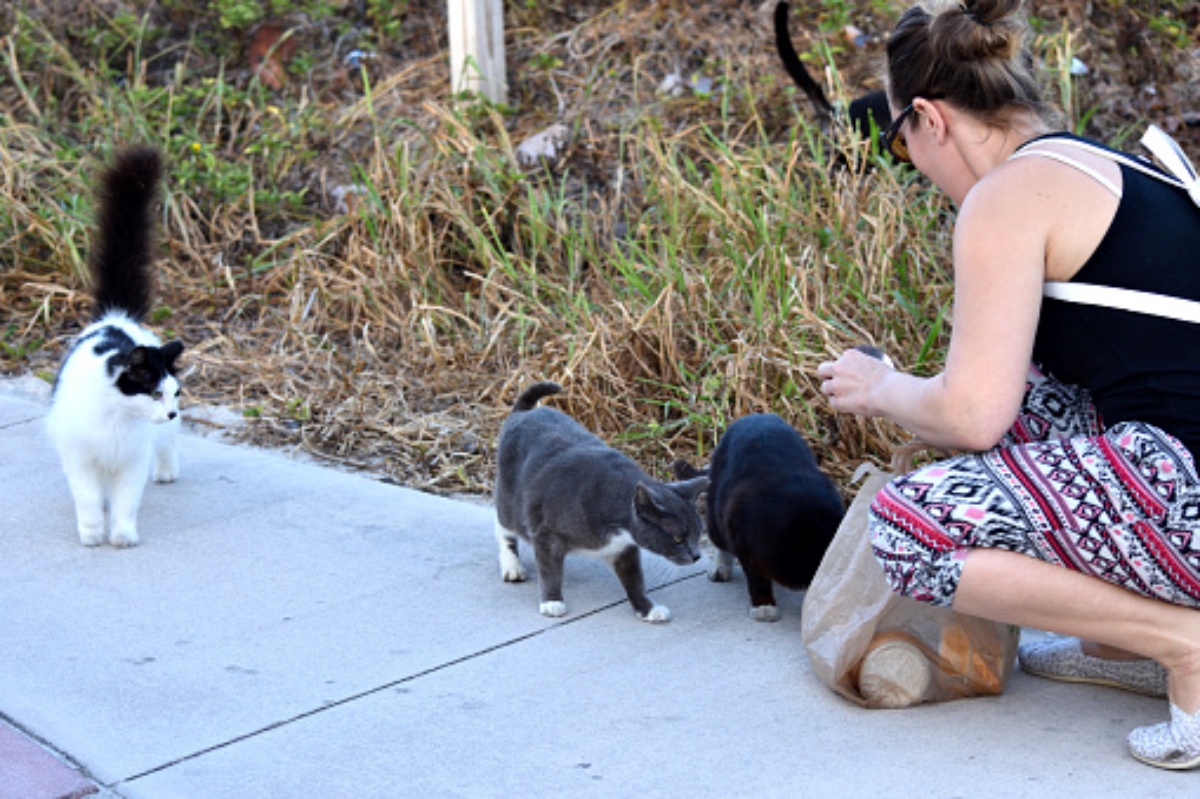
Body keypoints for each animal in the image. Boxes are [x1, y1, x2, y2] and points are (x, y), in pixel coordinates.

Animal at [45, 146, 182, 544]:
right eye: (154, 393)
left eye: (174, 394)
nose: (171, 411)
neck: (117, 418)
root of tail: (117, 317)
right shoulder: (79, 457)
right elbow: (89, 499)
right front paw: (93, 535)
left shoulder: (133, 460)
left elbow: (126, 502)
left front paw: (122, 537)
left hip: (160, 439)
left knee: (167, 444)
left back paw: (166, 472)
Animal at [492, 381, 705, 623]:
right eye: (678, 538)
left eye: (699, 534)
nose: (697, 555)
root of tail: (524, 411)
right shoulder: (546, 534)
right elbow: (549, 571)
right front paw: (552, 602)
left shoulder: (624, 548)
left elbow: (634, 580)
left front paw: (647, 608)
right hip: (511, 500)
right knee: (504, 525)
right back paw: (512, 566)